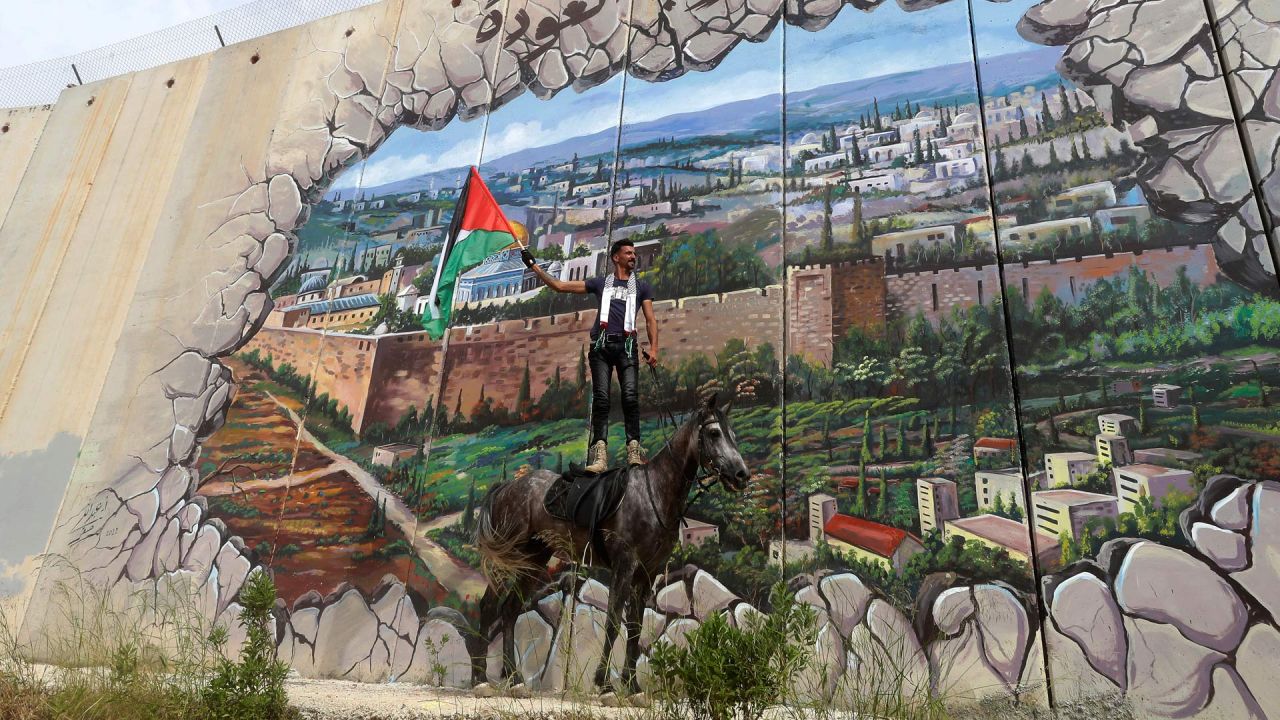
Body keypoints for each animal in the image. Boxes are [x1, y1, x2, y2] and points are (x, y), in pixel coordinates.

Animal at [468, 392, 747, 691]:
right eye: (715, 432)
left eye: (733, 434)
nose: (742, 475)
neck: (653, 493)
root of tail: (505, 488)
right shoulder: (624, 566)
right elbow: (614, 622)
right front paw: (603, 682)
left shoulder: (647, 573)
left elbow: (635, 627)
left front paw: (632, 684)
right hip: (507, 561)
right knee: (489, 607)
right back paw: (479, 678)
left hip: (532, 561)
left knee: (509, 610)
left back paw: (513, 676)